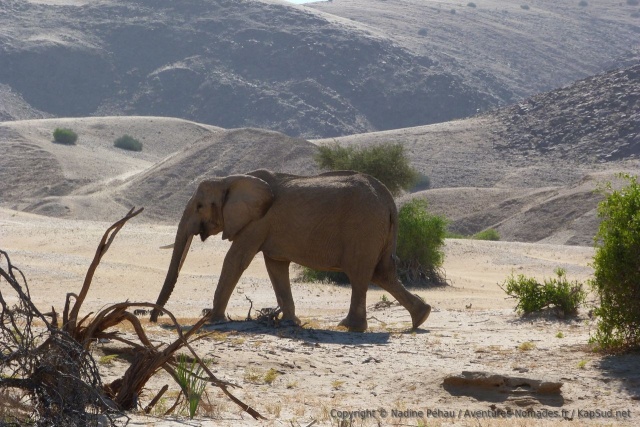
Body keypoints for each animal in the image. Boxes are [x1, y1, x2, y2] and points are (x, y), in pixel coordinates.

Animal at [150, 169, 431, 332]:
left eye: (199, 206)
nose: (154, 319)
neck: (231, 179)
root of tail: (389, 201)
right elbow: (275, 266)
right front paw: (289, 323)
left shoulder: (257, 222)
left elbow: (235, 260)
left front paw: (213, 320)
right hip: (378, 231)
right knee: (383, 274)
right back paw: (421, 317)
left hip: (363, 228)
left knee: (360, 275)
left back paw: (350, 327)